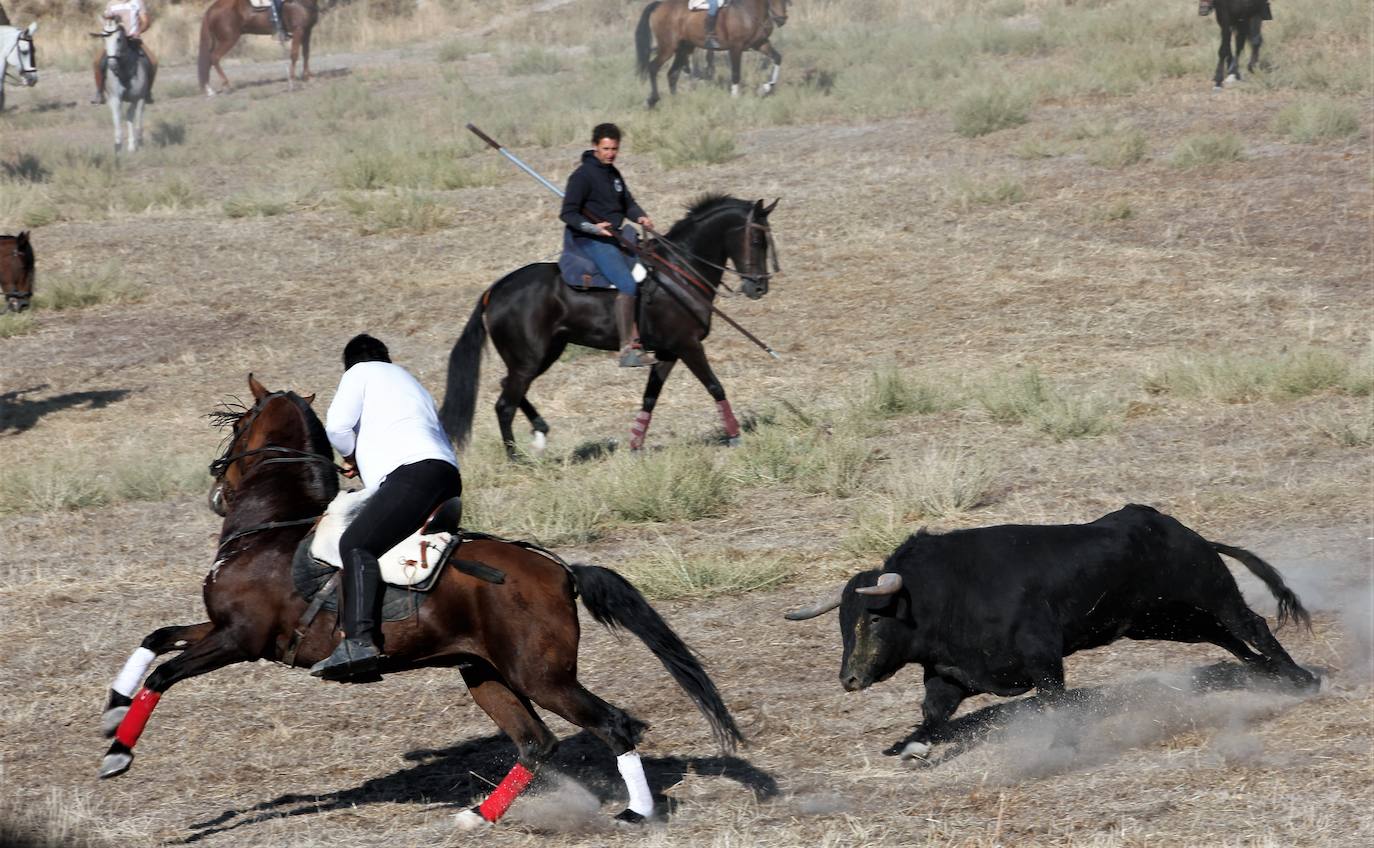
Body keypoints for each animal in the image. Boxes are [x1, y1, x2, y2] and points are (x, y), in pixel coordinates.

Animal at [92, 20, 151, 153]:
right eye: (103, 39)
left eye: (118, 39)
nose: (112, 64)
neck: (125, 72)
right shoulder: (115, 98)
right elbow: (117, 117)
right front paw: (118, 145)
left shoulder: (138, 98)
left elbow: (134, 117)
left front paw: (136, 143)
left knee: (134, 114)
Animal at [96, 376, 741, 824]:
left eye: (239, 425)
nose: (216, 484)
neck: (275, 524)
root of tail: (560, 570)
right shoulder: (222, 629)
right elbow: (156, 639)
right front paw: (111, 710)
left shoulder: (239, 640)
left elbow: (166, 674)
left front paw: (118, 753)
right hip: (485, 674)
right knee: (536, 742)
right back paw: (478, 817)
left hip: (542, 677)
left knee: (612, 725)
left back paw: (636, 812)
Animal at [442, 195, 780, 459]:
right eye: (756, 240)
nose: (759, 288)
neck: (679, 273)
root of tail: (494, 290)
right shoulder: (688, 345)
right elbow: (715, 386)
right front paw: (735, 436)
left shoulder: (668, 353)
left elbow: (649, 398)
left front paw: (635, 446)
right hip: (530, 359)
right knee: (504, 405)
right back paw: (517, 459)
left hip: (543, 354)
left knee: (508, 387)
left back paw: (540, 433)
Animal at [637, 0, 791, 108]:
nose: (781, 19)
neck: (749, 10)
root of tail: (659, 5)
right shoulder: (736, 47)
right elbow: (736, 73)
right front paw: (735, 98)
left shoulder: (760, 44)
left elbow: (777, 58)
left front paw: (765, 89)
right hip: (668, 48)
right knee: (653, 68)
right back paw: (652, 100)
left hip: (683, 49)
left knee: (672, 74)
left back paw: (676, 101)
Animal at [796, 505, 1319, 758]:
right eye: (842, 624)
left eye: (873, 618)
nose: (849, 679)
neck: (941, 596)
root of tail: (1181, 530)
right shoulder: (949, 675)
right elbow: (932, 714)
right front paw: (914, 749)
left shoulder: (1041, 657)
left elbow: (1054, 698)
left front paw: (1061, 747)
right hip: (1161, 621)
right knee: (1222, 636)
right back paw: (1266, 676)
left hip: (1210, 591)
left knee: (1250, 624)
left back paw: (1302, 679)